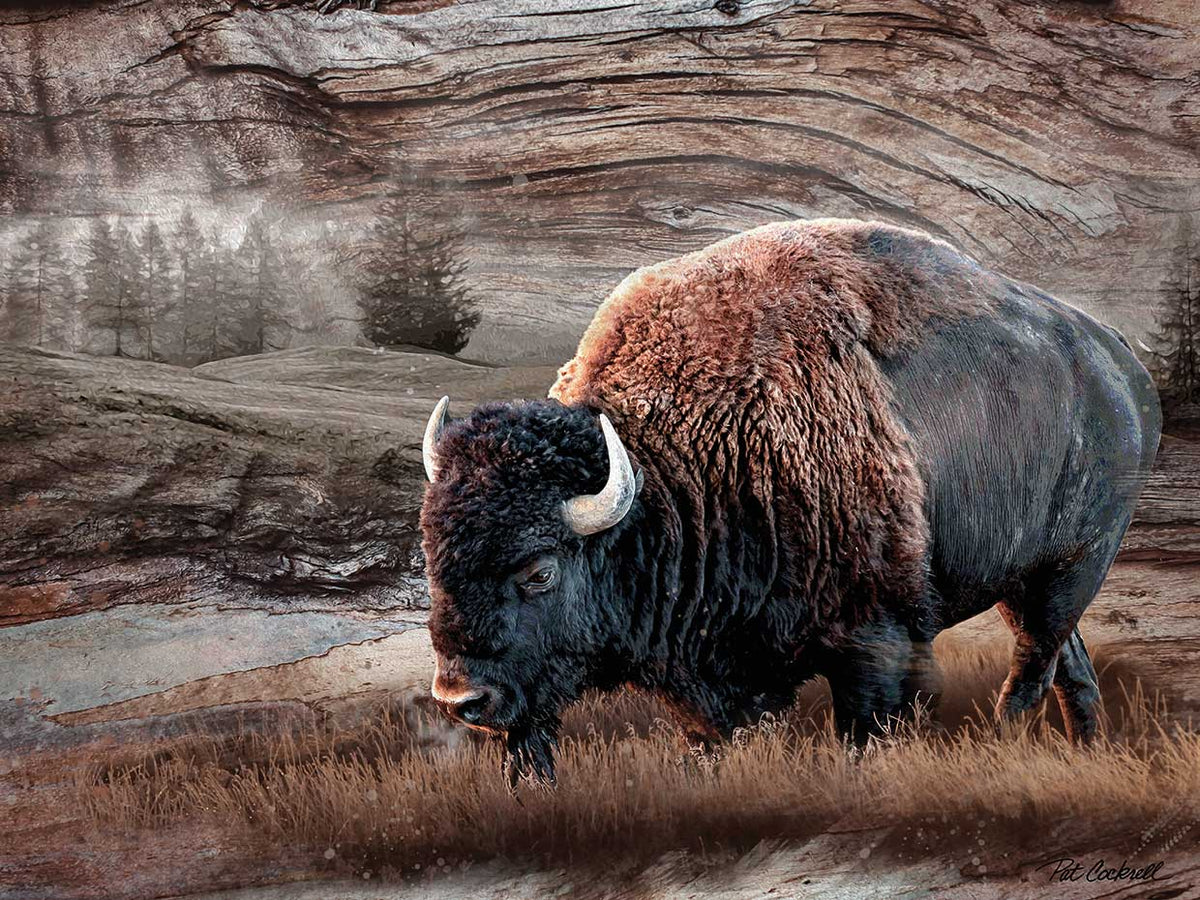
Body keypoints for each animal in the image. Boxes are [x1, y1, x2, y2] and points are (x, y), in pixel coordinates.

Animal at [419, 219, 1161, 787]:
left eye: (540, 571)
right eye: (433, 560)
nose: (461, 698)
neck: (679, 470)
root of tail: (1126, 369)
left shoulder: (876, 645)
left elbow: (867, 731)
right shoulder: (713, 684)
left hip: (1073, 566)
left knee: (1033, 666)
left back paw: (1004, 745)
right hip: (1019, 580)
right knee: (1070, 665)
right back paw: (1087, 751)